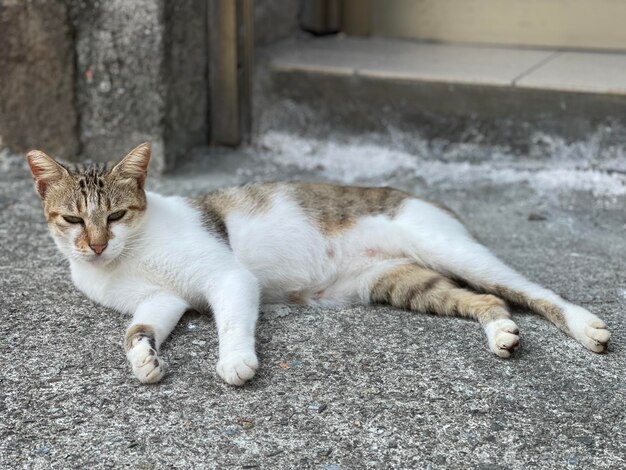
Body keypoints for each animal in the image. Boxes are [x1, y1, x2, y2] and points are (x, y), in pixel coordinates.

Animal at [26, 143, 608, 386]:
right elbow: (136, 330)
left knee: (532, 291)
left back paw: (586, 327)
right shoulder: (161, 300)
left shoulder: (227, 277)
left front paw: (235, 361)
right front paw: (144, 361)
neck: (126, 257)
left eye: (115, 215)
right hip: (399, 281)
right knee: (486, 299)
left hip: (452, 250)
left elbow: (231, 321)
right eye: (73, 219)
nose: (95, 246)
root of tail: (424, 197)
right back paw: (501, 333)